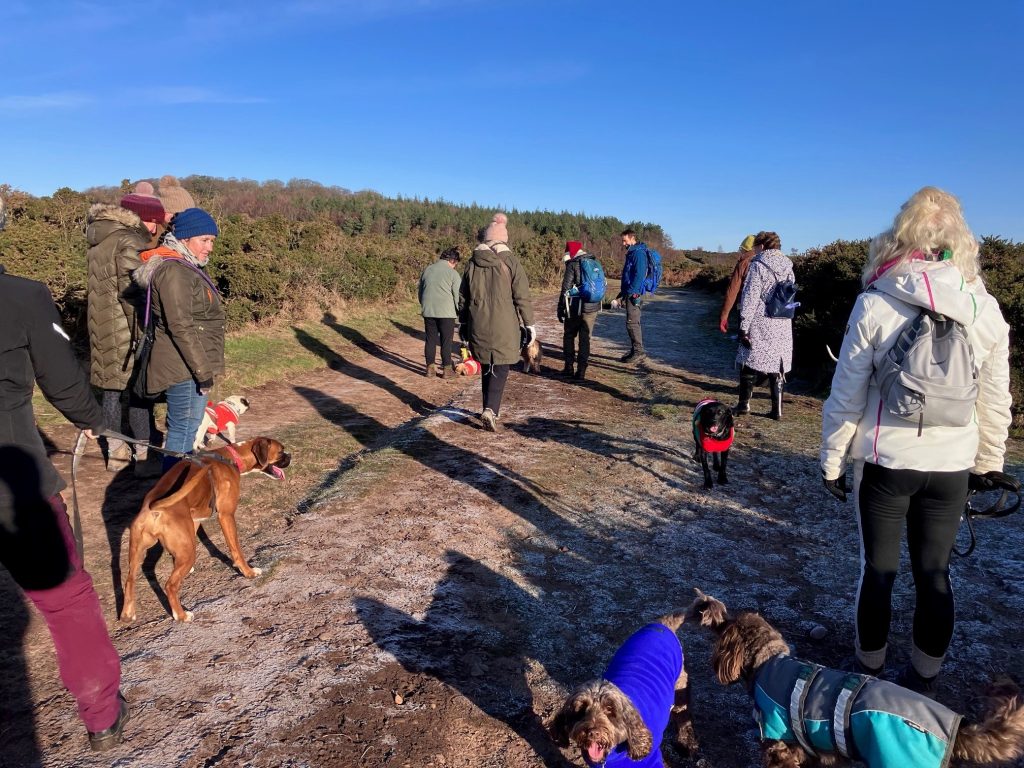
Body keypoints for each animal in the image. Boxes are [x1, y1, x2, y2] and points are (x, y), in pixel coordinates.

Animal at [123, 438, 294, 626]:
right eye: (281, 451)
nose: (290, 456)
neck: (233, 457)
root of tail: (153, 507)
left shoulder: (194, 519)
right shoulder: (226, 516)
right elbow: (236, 549)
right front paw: (248, 572)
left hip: (137, 551)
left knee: (129, 580)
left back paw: (127, 614)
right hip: (185, 554)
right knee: (170, 585)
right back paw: (181, 615)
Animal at [548, 614, 700, 768]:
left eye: (610, 709)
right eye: (581, 709)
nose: (593, 733)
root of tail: (662, 624)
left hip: (680, 688)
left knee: (682, 715)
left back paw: (686, 744)